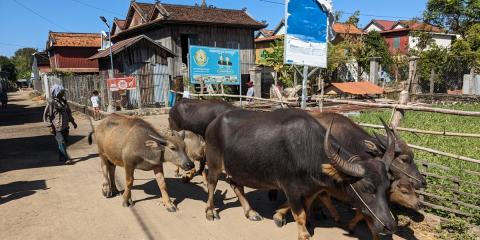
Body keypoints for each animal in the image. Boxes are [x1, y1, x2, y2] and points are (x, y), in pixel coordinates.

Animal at [204, 109, 396, 240]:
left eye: (387, 187)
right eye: (366, 188)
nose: (389, 225)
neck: (308, 151)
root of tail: (214, 123)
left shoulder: (310, 189)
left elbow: (302, 207)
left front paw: (279, 215)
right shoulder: (291, 188)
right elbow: (300, 214)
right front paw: (303, 234)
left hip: (236, 167)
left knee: (236, 184)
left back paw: (250, 212)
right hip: (214, 163)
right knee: (212, 183)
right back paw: (210, 212)